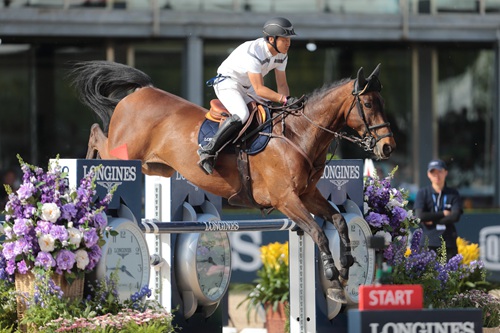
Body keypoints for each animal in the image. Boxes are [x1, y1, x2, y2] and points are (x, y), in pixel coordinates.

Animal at [69, 59, 394, 300]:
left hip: (154, 167)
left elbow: (338, 221)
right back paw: (87, 165)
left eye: (382, 101)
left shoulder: (306, 195)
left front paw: (347, 267)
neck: (299, 135)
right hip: (125, 153)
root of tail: (141, 92)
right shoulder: (285, 199)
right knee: (97, 134)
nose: (387, 147)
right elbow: (317, 232)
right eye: (367, 104)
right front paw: (333, 277)